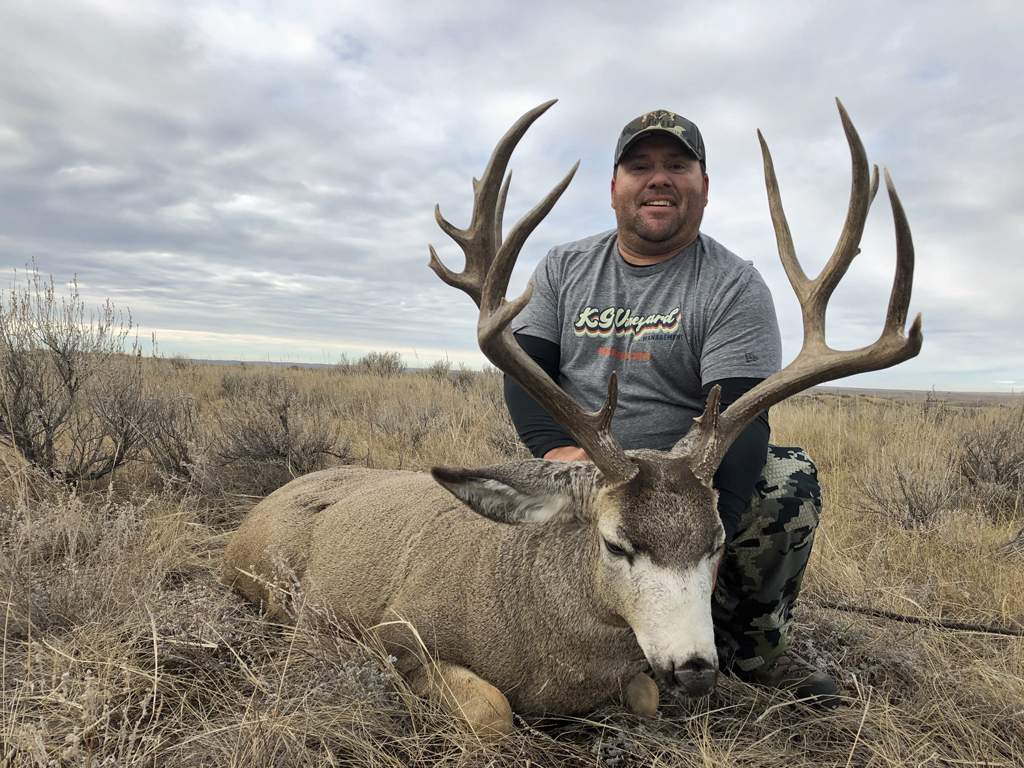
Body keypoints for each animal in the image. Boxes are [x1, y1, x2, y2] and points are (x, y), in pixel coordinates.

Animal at [222, 99, 921, 741]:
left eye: (717, 542)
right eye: (615, 543)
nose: (697, 668)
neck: (549, 651)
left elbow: (644, 696)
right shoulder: (396, 631)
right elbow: (492, 712)